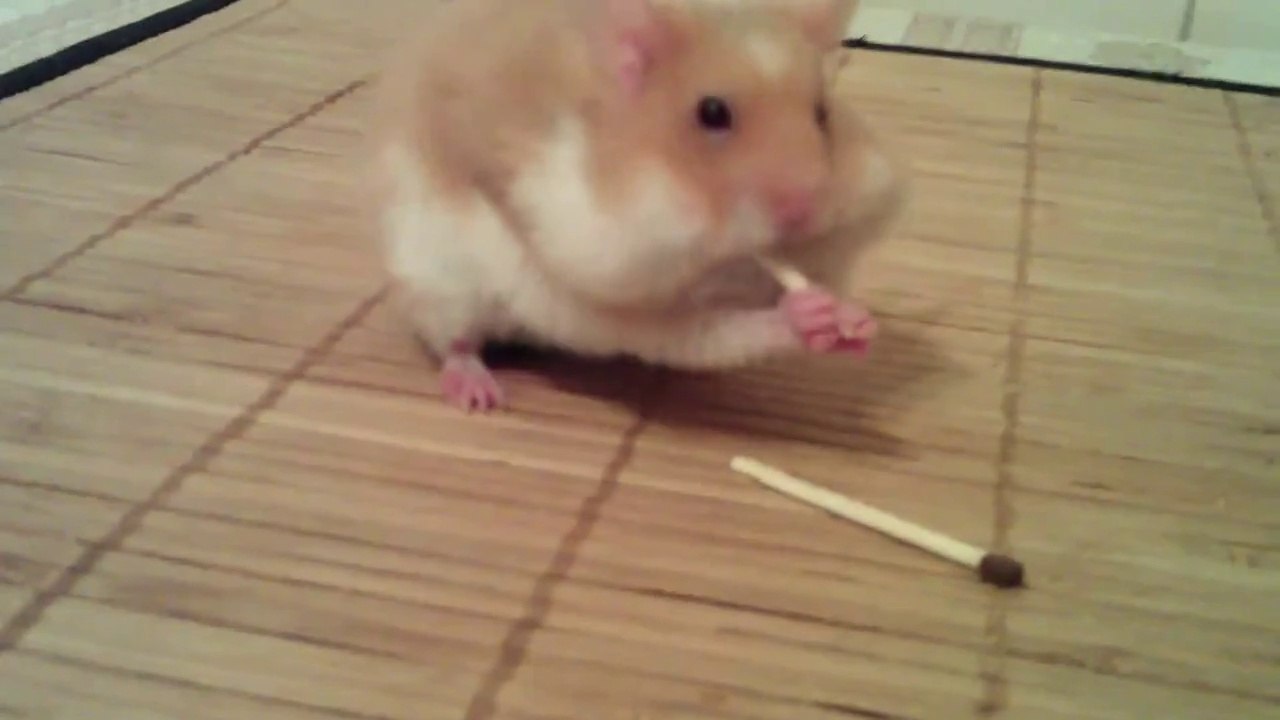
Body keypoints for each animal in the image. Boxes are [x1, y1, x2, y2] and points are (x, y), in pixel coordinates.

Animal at [364, 0, 906, 411]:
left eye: (822, 113)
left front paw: (854, 323)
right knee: (452, 342)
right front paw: (817, 312)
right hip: (437, 279)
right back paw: (479, 395)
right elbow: (717, 332)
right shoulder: (607, 294)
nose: (805, 207)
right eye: (712, 113)